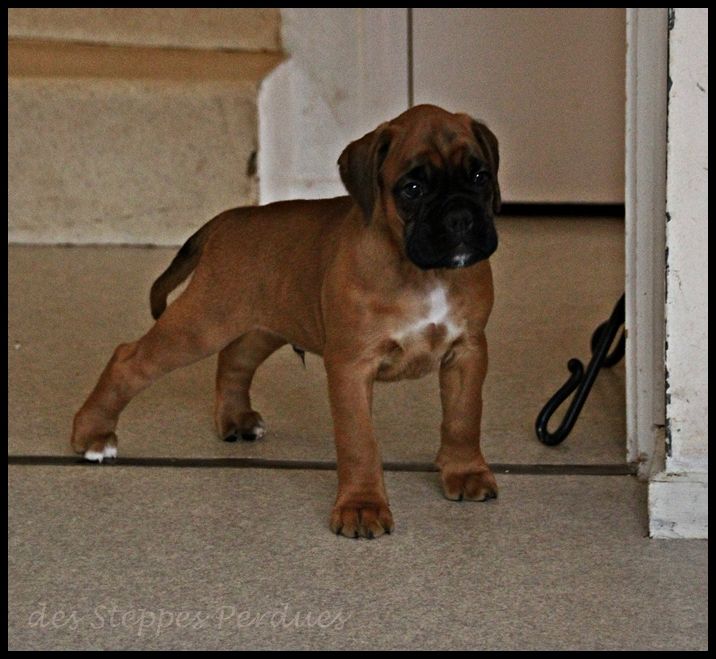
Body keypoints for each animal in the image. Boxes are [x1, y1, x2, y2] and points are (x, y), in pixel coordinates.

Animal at [71, 104, 501, 538]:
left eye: (480, 177)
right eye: (412, 189)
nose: (461, 218)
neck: (423, 272)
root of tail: (230, 218)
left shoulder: (468, 353)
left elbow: (464, 418)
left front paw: (464, 472)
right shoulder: (351, 366)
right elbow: (359, 442)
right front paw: (362, 506)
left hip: (263, 325)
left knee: (233, 361)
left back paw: (234, 419)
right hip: (201, 324)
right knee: (129, 359)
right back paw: (92, 434)